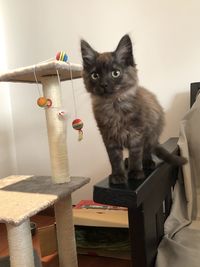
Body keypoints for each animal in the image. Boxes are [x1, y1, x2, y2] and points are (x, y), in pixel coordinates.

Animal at [80, 34, 187, 185]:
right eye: (95, 75)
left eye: (115, 73)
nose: (104, 84)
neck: (114, 106)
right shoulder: (108, 137)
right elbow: (114, 159)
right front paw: (118, 175)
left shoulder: (137, 133)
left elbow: (136, 155)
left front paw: (135, 172)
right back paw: (127, 162)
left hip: (151, 133)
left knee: (147, 150)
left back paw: (146, 162)